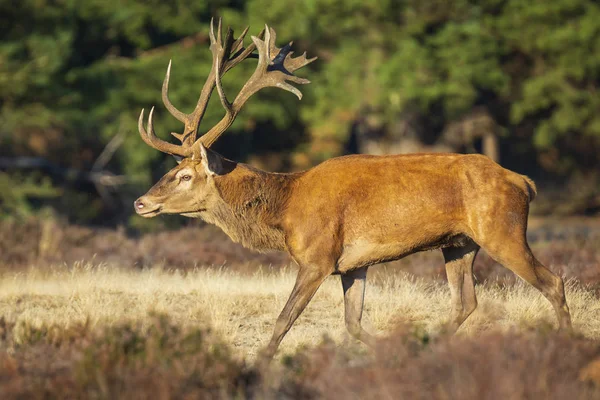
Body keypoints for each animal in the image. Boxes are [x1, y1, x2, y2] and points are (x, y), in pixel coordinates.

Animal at [135, 20, 572, 360]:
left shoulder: (318, 257)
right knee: (466, 301)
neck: (284, 211)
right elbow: (353, 323)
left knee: (553, 281)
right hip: (459, 243)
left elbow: (283, 320)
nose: (141, 202)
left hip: (502, 230)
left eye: (185, 175)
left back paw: (568, 343)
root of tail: (525, 182)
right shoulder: (353, 264)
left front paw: (260, 363)